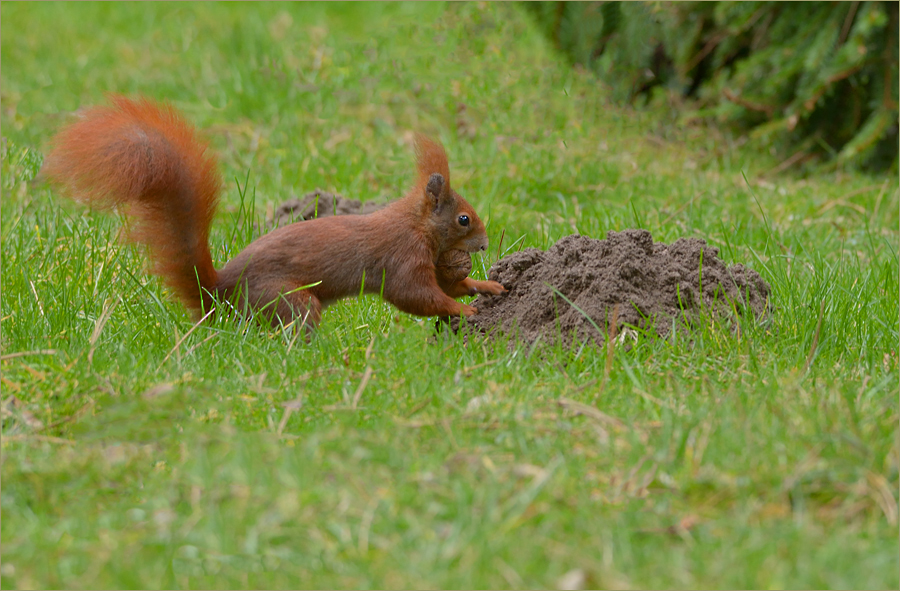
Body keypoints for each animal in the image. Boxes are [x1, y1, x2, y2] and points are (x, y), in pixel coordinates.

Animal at [44, 96, 506, 328]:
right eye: (464, 219)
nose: (484, 244)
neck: (416, 223)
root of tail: (219, 297)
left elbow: (450, 286)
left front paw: (486, 287)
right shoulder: (402, 256)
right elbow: (416, 296)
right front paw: (463, 312)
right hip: (287, 299)